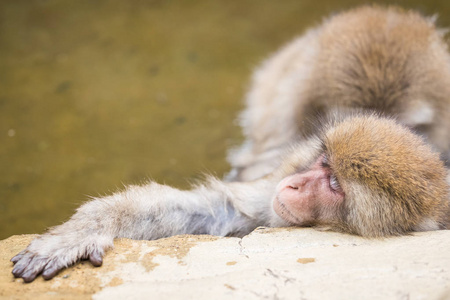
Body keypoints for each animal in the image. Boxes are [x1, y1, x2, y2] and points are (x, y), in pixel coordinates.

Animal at [9, 7, 450, 284]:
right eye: (324, 163)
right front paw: (81, 233)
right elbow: (213, 210)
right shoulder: (273, 189)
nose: (293, 185)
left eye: (334, 186)